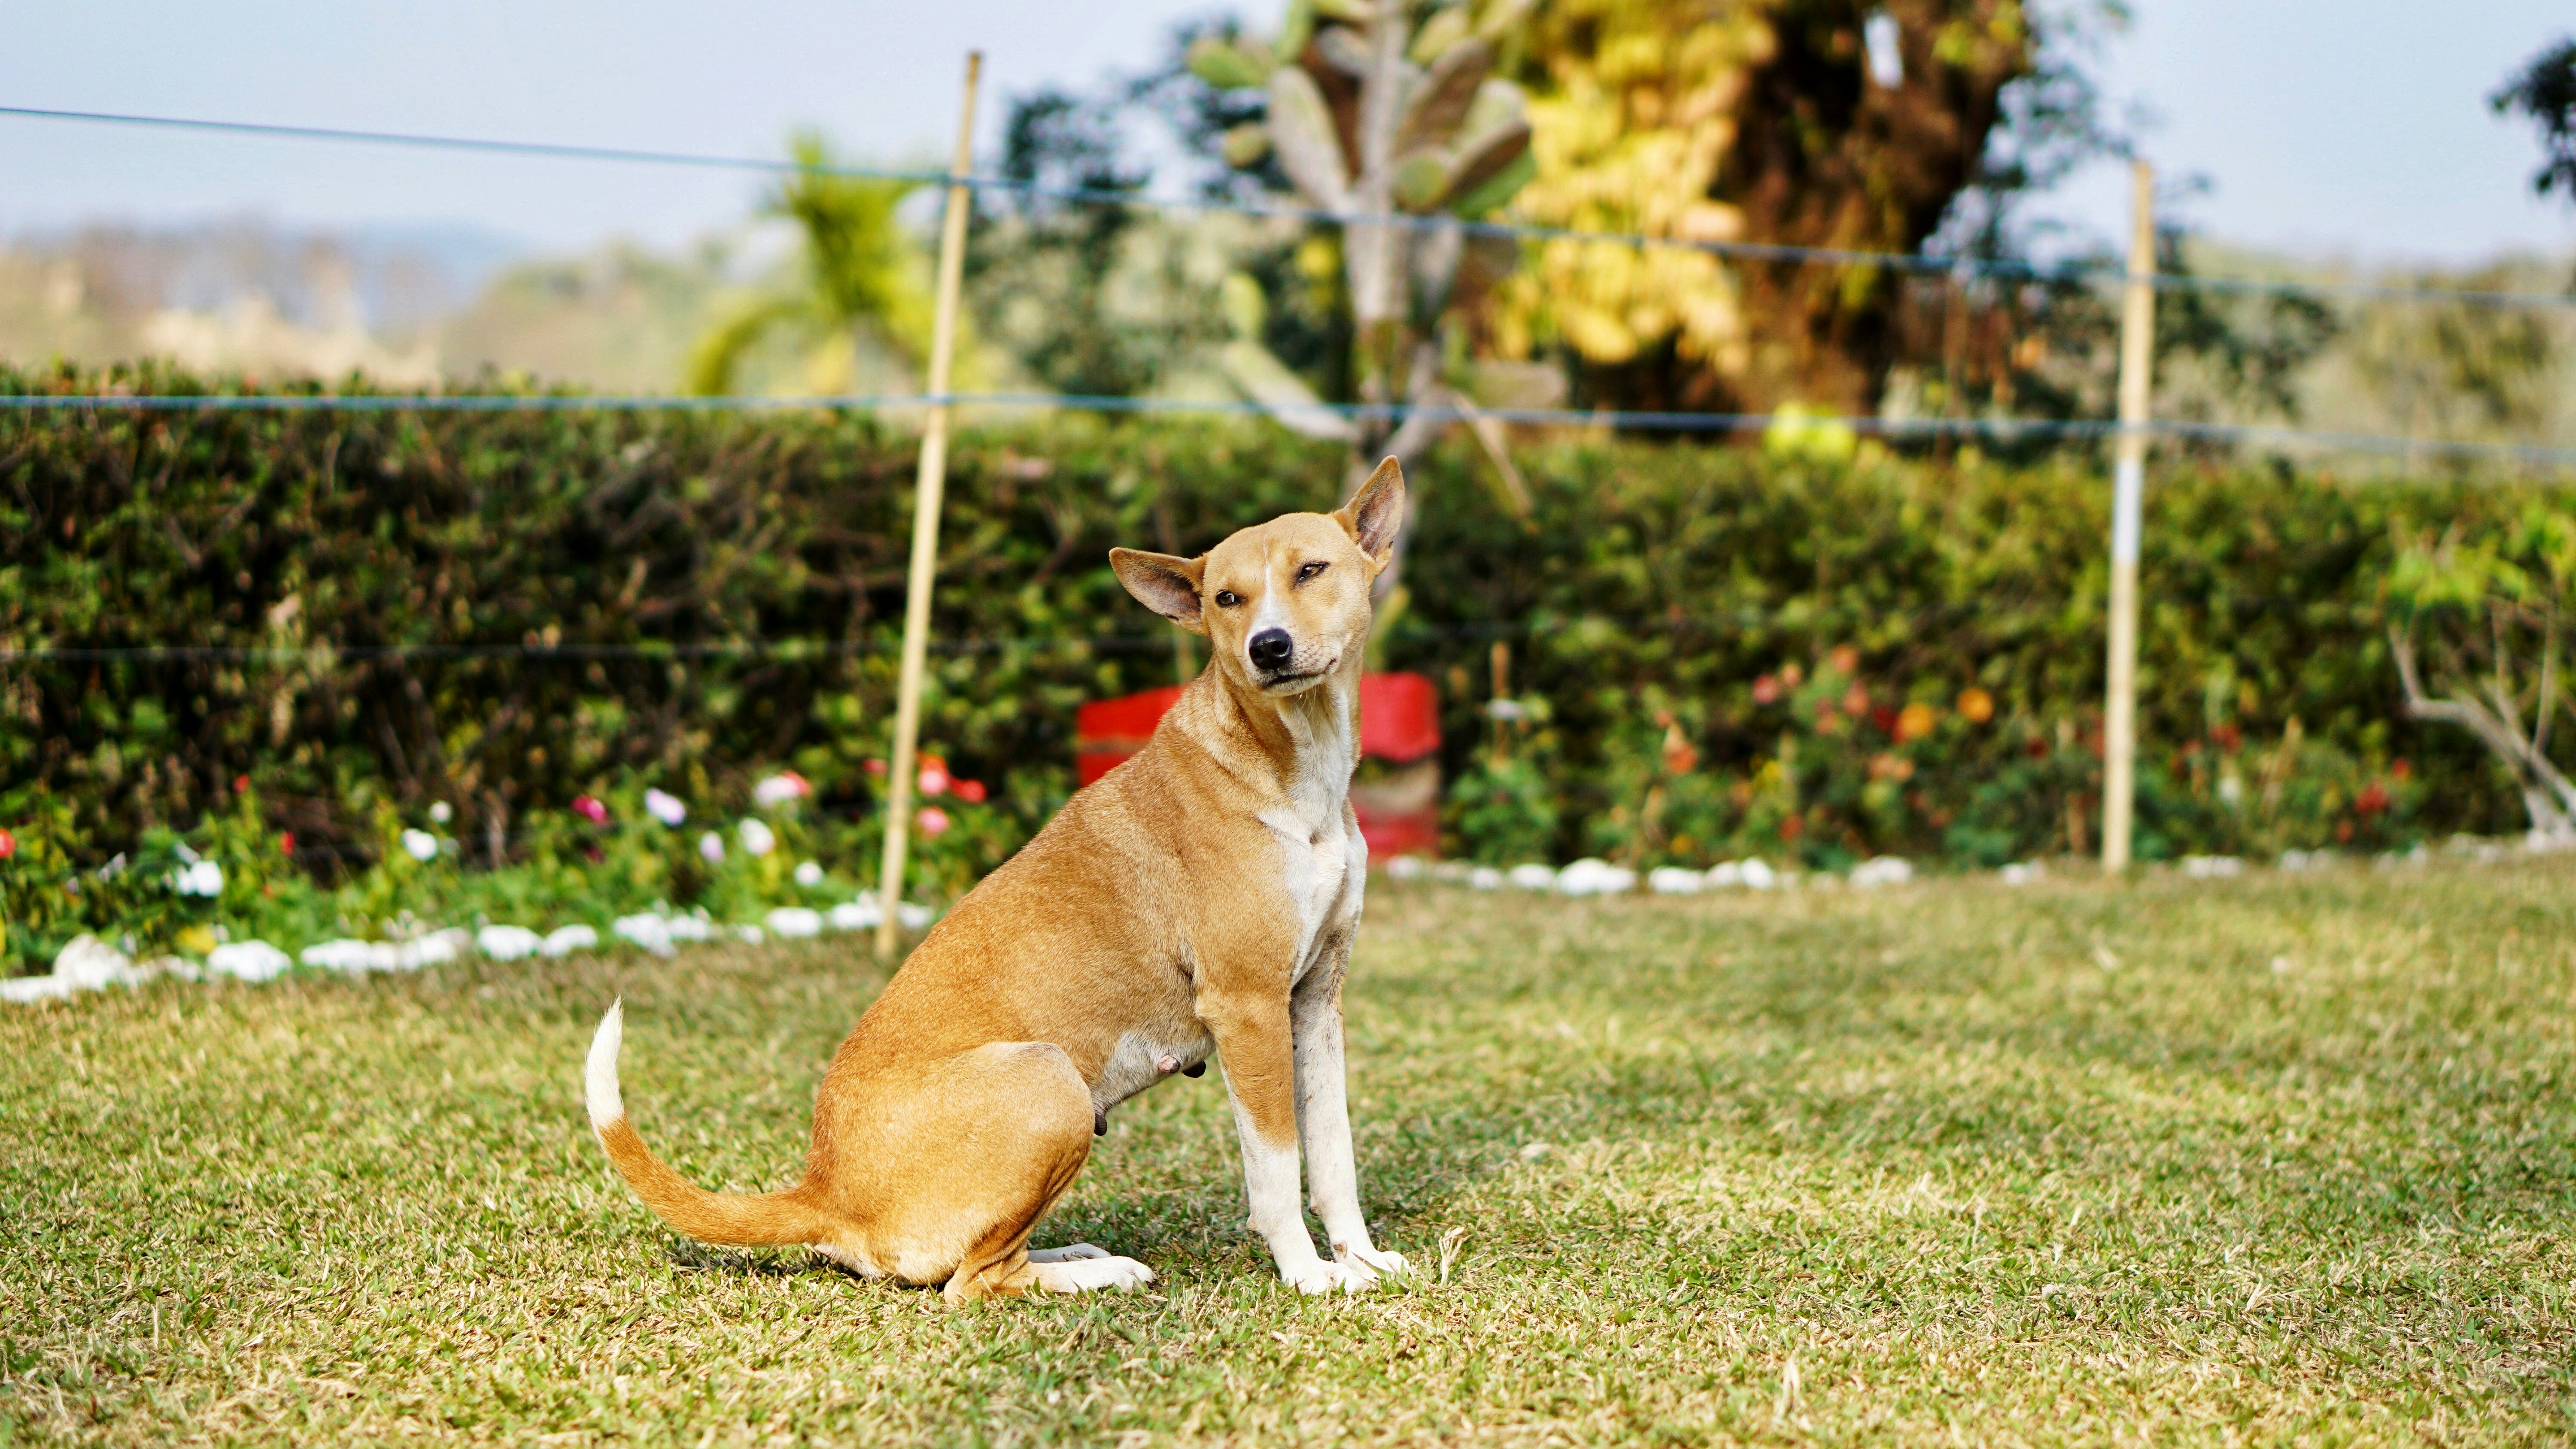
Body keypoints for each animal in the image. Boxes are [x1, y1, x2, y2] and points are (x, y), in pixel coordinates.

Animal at [587, 458, 1422, 1297]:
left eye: (1311, 571)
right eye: (1227, 598)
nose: (1269, 648)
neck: (1292, 774)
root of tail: (824, 1193)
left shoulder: (1313, 1005)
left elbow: (1333, 1157)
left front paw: (1360, 1257)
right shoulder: (1247, 1008)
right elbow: (1277, 1171)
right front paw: (1309, 1274)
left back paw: (1081, 1256)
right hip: (1052, 1082)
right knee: (977, 1280)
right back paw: (1098, 1274)